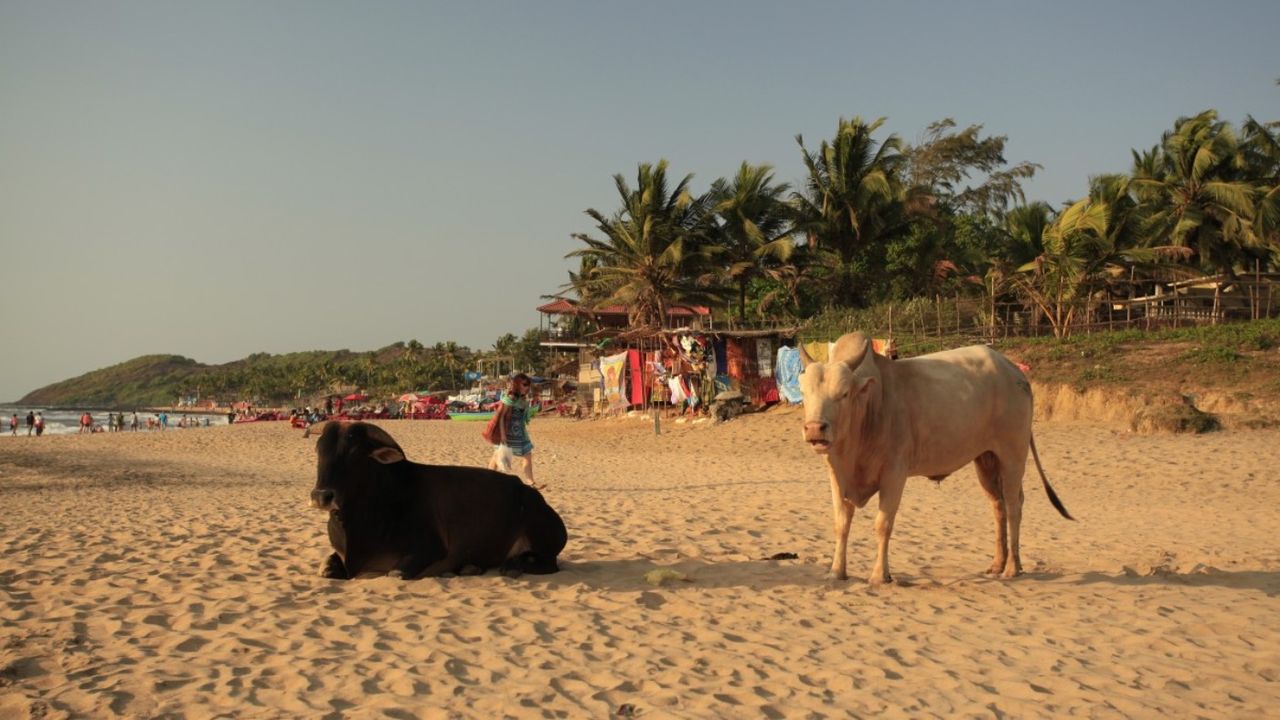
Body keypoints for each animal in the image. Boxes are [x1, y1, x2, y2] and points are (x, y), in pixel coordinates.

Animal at [307, 420, 568, 576]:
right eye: (319, 449)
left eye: (355, 453)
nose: (321, 496)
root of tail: (528, 490)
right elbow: (326, 568)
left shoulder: (429, 549)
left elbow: (396, 572)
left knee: (548, 564)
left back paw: (511, 566)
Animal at [798, 330, 1070, 584]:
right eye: (804, 394)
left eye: (844, 393)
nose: (814, 428)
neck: (868, 408)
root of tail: (1015, 373)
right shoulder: (837, 474)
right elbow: (841, 523)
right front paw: (836, 571)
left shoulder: (894, 473)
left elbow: (883, 524)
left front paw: (879, 575)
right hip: (986, 459)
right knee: (998, 505)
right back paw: (997, 564)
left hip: (1012, 455)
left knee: (1014, 505)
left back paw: (1012, 568)